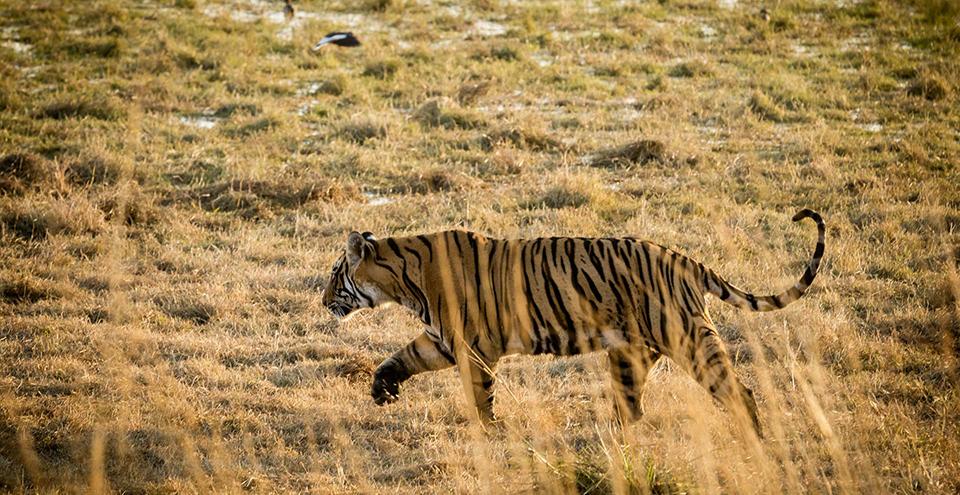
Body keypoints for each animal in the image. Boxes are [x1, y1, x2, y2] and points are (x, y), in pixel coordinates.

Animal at [320, 210, 825, 437]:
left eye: (334, 274)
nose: (322, 301)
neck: (404, 281)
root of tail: (685, 259)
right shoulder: (439, 341)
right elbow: (399, 358)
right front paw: (382, 390)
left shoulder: (472, 347)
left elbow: (480, 394)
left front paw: (490, 431)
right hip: (630, 353)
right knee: (632, 407)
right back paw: (611, 439)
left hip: (688, 339)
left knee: (739, 390)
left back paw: (756, 439)